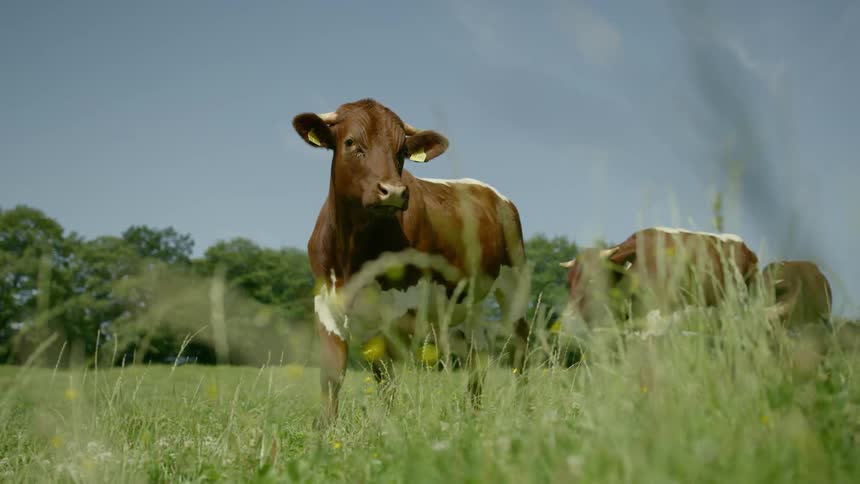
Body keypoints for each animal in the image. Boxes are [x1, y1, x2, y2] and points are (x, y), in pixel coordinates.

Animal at [292, 99, 530, 427]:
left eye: (402, 150)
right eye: (350, 142)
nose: (393, 191)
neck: (353, 252)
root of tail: (492, 193)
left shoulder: (400, 307)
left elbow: (387, 377)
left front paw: (386, 426)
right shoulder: (327, 303)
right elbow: (332, 374)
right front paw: (326, 429)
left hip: (513, 283)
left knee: (521, 347)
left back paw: (524, 409)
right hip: (469, 303)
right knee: (477, 355)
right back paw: (474, 413)